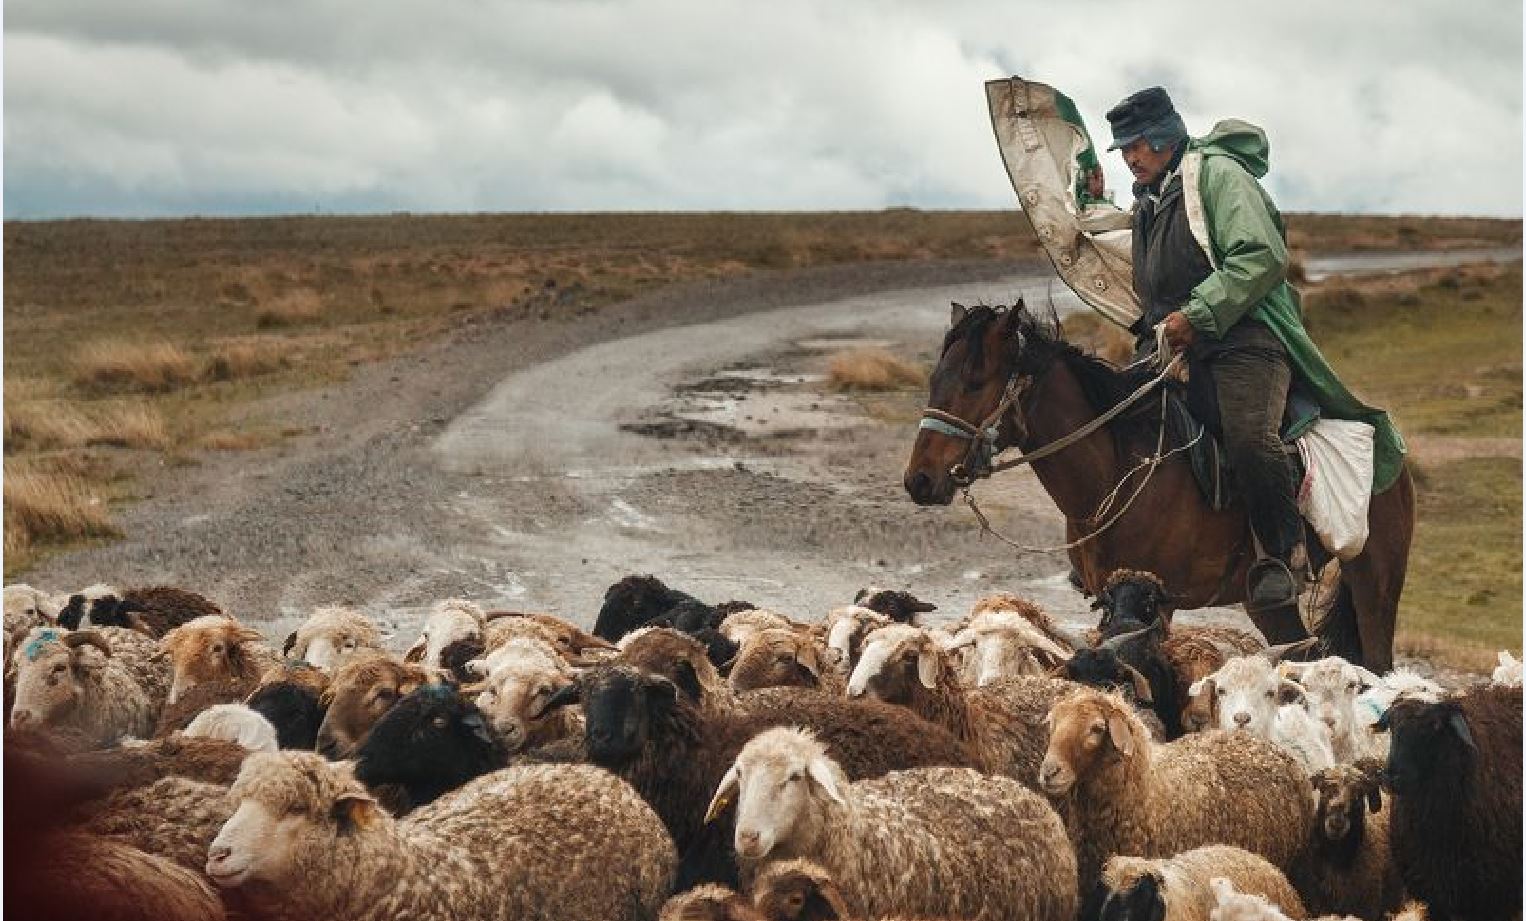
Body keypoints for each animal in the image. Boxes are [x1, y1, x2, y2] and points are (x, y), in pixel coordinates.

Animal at [897, 301, 1410, 667]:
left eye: (975, 381)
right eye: (935, 378)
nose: (920, 480)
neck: (1114, 473)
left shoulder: (1155, 604)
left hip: (1376, 581)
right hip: (1266, 604)